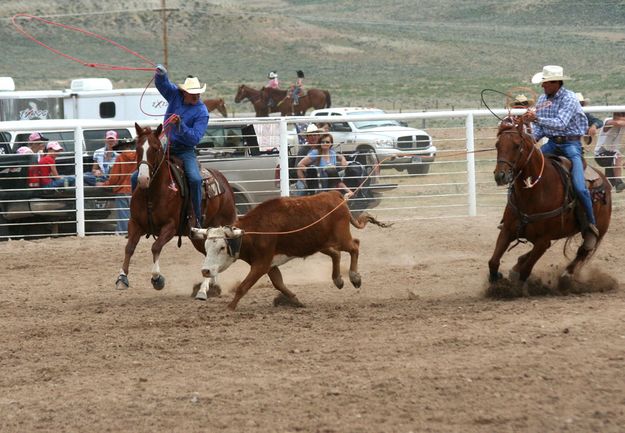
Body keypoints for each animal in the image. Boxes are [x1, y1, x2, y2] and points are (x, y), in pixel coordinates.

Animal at [115, 121, 236, 296]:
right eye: (137, 149)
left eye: (155, 149)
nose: (143, 179)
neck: (152, 193)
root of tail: (225, 184)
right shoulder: (135, 223)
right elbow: (129, 248)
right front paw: (122, 278)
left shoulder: (170, 226)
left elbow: (155, 247)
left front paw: (157, 279)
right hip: (197, 237)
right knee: (209, 254)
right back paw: (212, 286)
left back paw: (203, 290)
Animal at [488, 115, 608, 290]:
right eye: (497, 145)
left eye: (517, 146)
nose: (500, 176)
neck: (533, 193)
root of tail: (604, 179)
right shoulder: (507, 230)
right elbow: (493, 261)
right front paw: (495, 283)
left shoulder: (543, 241)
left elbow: (526, 270)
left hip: (599, 229)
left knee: (583, 250)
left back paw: (567, 275)